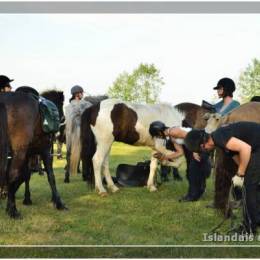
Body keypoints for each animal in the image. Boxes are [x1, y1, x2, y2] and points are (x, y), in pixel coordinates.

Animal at [0, 89, 66, 217]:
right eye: (61, 106)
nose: (63, 120)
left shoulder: (28, 154)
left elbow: (26, 176)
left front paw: (26, 199)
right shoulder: (46, 151)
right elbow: (51, 175)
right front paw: (58, 202)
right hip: (19, 152)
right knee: (12, 174)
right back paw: (13, 210)